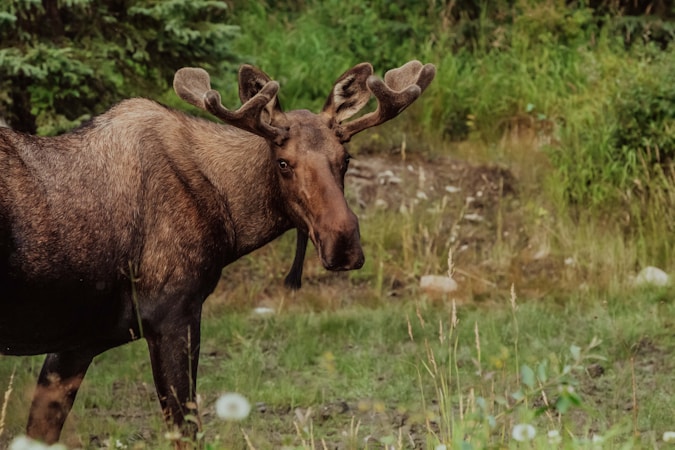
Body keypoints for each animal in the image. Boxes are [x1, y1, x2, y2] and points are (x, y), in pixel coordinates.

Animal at [0, 59, 435, 446]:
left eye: (346, 159)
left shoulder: (77, 342)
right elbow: (187, 433)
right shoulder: (172, 316)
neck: (229, 223)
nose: (343, 243)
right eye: (283, 163)